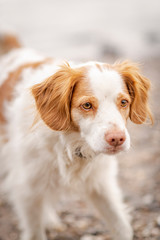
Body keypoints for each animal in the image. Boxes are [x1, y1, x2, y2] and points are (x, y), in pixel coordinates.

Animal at [0, 33, 152, 240]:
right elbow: (34, 231)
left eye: (123, 102)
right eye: (87, 105)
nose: (117, 139)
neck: (69, 144)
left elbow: (122, 226)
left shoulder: (101, 183)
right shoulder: (26, 186)